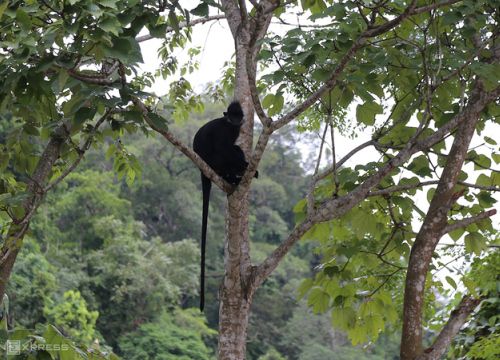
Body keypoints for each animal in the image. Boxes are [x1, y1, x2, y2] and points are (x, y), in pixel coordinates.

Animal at [192, 100, 258, 310]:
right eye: (232, 115)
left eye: (239, 115)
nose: (237, 120)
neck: (230, 125)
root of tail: (203, 170)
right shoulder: (225, 130)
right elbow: (224, 147)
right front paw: (246, 166)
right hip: (214, 162)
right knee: (227, 152)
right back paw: (237, 174)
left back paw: (233, 179)